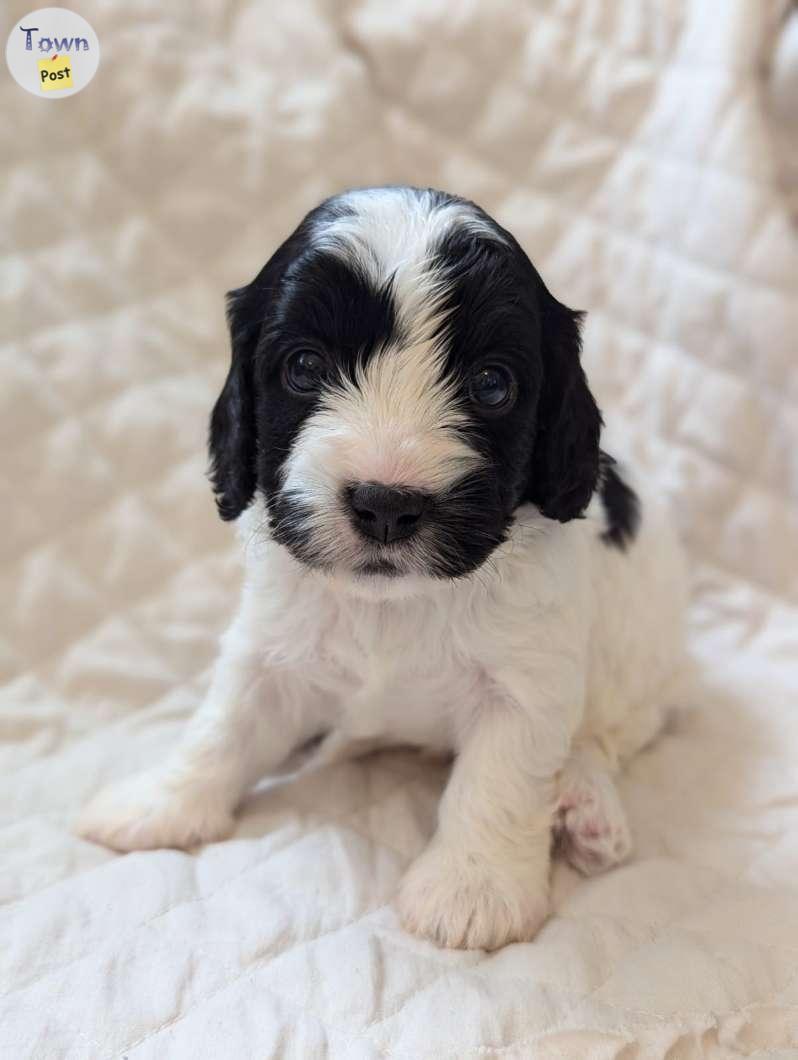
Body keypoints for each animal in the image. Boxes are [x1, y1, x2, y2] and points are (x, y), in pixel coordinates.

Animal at [82, 184, 690, 953]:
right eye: (304, 367)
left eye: (492, 384)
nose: (386, 505)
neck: (395, 604)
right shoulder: (270, 646)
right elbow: (223, 723)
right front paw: (163, 801)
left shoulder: (525, 678)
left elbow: (501, 775)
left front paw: (472, 890)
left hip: (643, 658)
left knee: (608, 735)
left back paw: (584, 805)